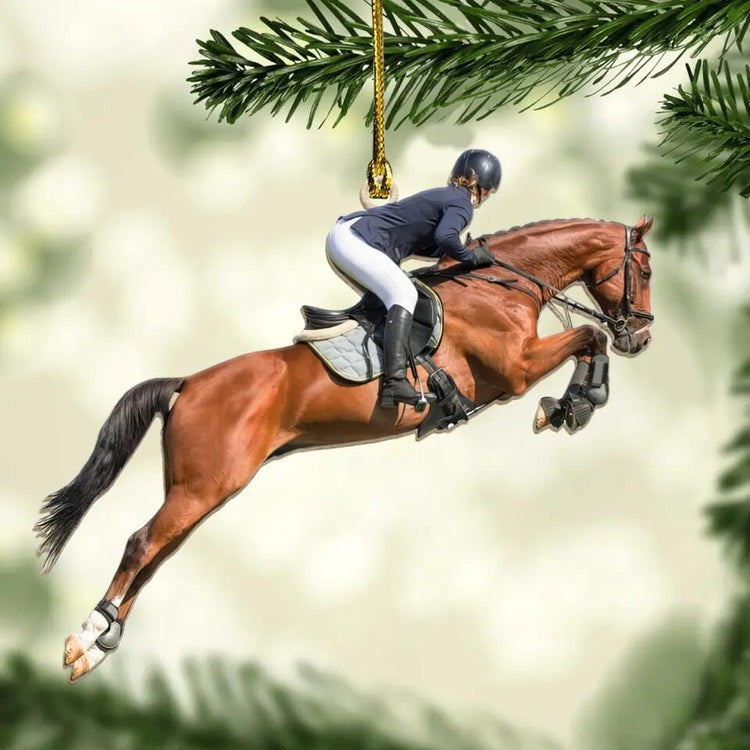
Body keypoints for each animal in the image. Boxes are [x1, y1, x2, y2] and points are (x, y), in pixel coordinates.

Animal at [35, 215, 654, 681]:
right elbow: (589, 336)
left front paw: (572, 404)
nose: (642, 338)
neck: (500, 286)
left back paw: (102, 646)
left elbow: (589, 341)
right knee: (142, 545)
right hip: (203, 487)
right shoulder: (517, 369)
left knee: (157, 556)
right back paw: (85, 638)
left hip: (204, 490)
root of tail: (187, 382)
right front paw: (576, 402)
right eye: (644, 269)